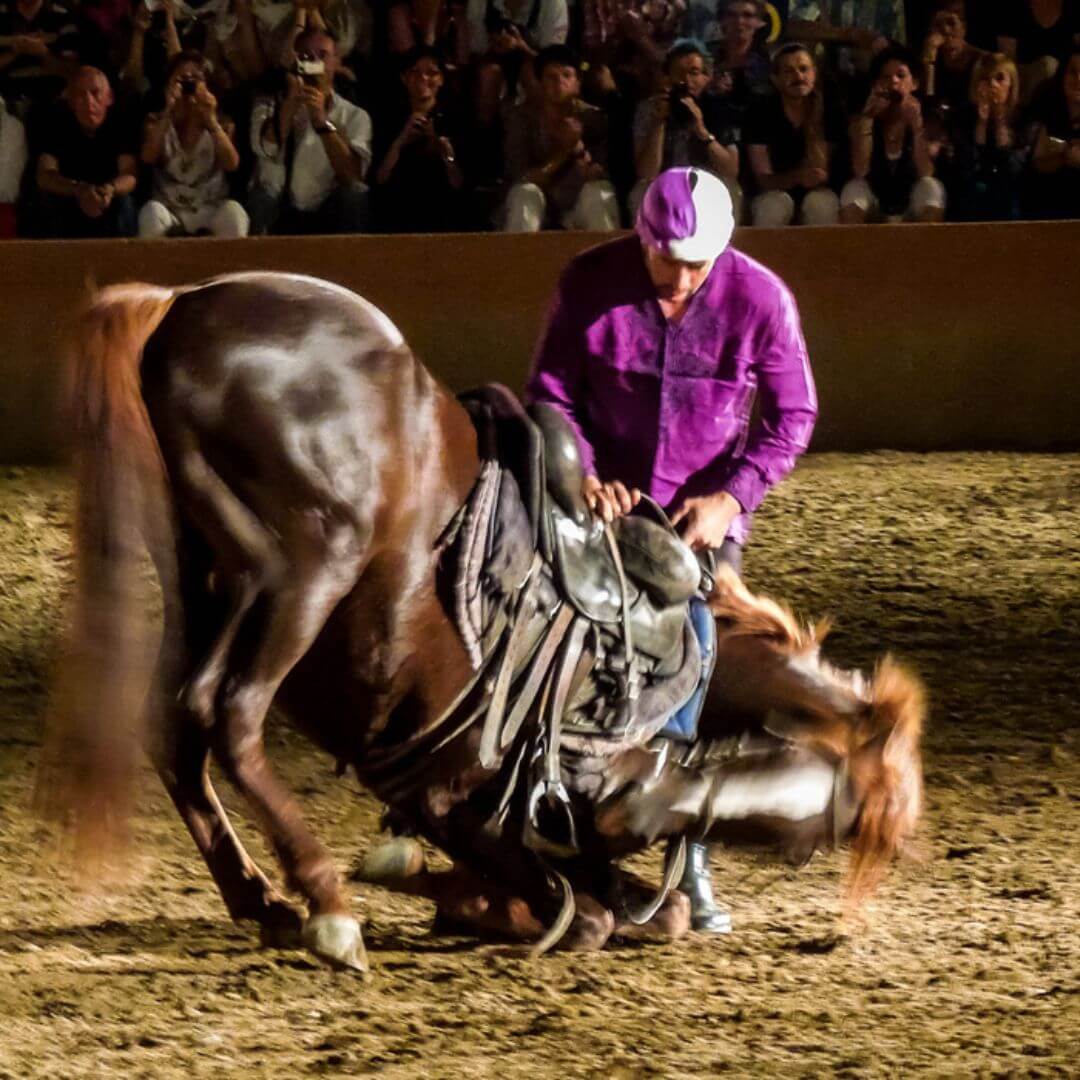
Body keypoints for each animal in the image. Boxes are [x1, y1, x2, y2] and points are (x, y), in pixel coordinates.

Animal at [38, 272, 924, 972]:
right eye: (886, 798)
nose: (896, 851)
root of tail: (183, 305)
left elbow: (645, 907)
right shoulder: (458, 797)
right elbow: (586, 911)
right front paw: (450, 895)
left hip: (200, 579)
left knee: (175, 729)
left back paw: (264, 901)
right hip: (309, 567)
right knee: (226, 715)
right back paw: (326, 907)